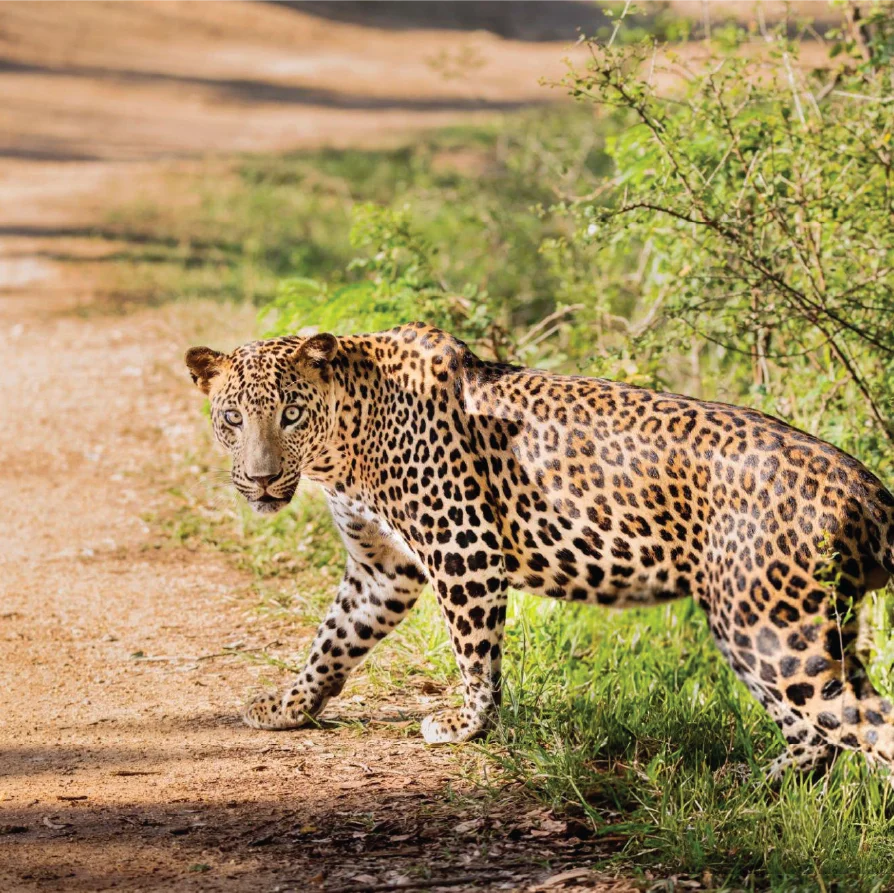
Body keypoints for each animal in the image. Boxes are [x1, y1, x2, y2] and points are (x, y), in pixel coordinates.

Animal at [186, 322, 894, 780]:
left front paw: (465, 726)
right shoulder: (382, 568)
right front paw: (289, 707)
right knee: (817, 738)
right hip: (786, 626)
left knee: (864, 722)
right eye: (232, 418)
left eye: (291, 415)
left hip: (769, 629)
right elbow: (334, 638)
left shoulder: (463, 549)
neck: (346, 445)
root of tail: (866, 487)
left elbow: (475, 656)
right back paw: (751, 784)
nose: (259, 480)